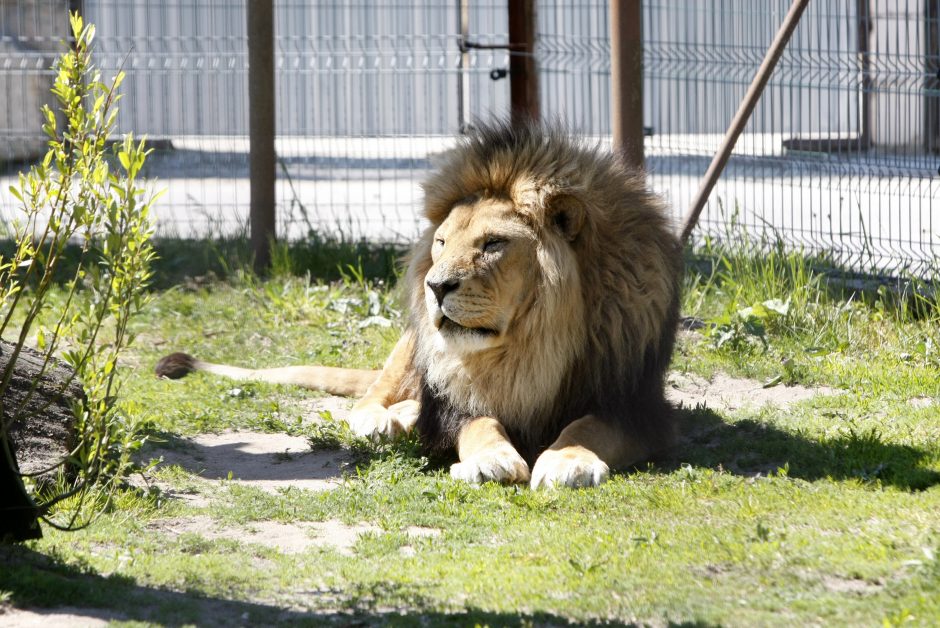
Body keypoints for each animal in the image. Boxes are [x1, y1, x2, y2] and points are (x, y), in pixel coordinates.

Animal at [156, 119, 684, 490]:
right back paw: (384, 421)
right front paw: (490, 459)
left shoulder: (634, 403)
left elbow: (589, 427)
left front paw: (568, 460)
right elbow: (478, 423)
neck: (529, 346)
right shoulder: (456, 400)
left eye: (493, 244)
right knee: (372, 396)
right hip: (411, 346)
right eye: (442, 242)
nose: (435, 285)